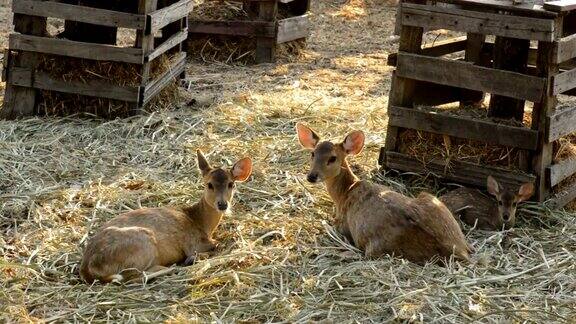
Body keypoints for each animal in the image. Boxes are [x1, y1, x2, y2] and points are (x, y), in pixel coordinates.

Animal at [79, 150, 252, 284]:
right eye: (209, 184)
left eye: (231, 184)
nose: (222, 204)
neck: (200, 222)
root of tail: (88, 268)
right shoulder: (194, 243)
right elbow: (217, 245)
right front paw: (193, 258)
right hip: (143, 241)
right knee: (134, 277)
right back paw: (175, 266)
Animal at [296, 123, 472, 264]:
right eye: (313, 153)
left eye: (333, 158)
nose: (311, 176)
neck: (345, 192)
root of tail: (458, 251)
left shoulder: (342, 225)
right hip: (431, 199)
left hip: (376, 247)